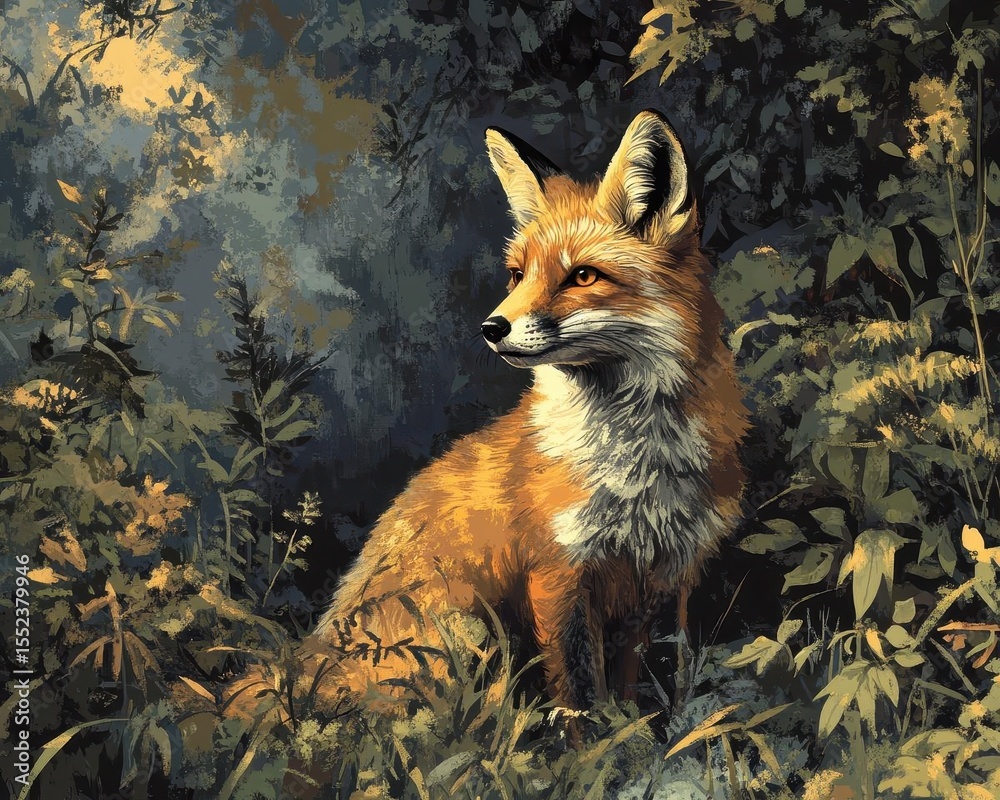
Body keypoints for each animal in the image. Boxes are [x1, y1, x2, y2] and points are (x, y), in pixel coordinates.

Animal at [303, 109, 749, 712]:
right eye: (518, 275)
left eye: (583, 276)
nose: (491, 328)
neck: (637, 459)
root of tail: (305, 660)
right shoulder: (558, 572)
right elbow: (581, 697)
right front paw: (598, 737)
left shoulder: (665, 574)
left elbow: (649, 689)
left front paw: (653, 732)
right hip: (467, 633)